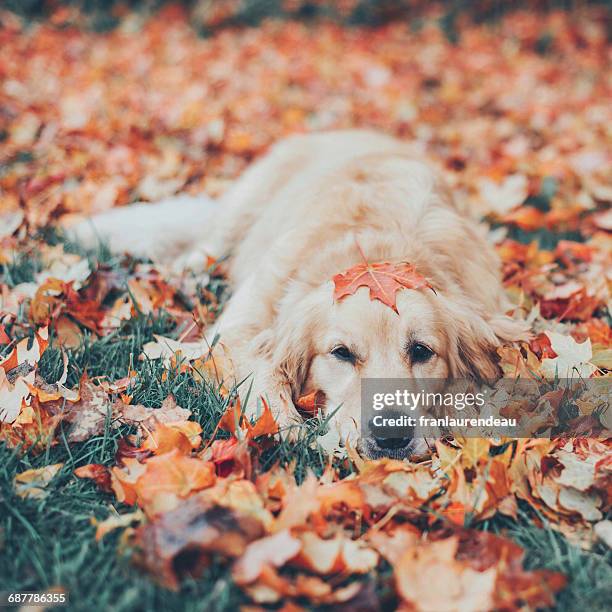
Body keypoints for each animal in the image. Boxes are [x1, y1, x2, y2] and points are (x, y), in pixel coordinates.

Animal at [71, 131, 524, 456]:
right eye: (342, 354)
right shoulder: (240, 329)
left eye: (421, 351)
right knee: (203, 249)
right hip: (242, 209)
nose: (390, 437)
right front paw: (285, 426)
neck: (375, 256)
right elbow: (263, 371)